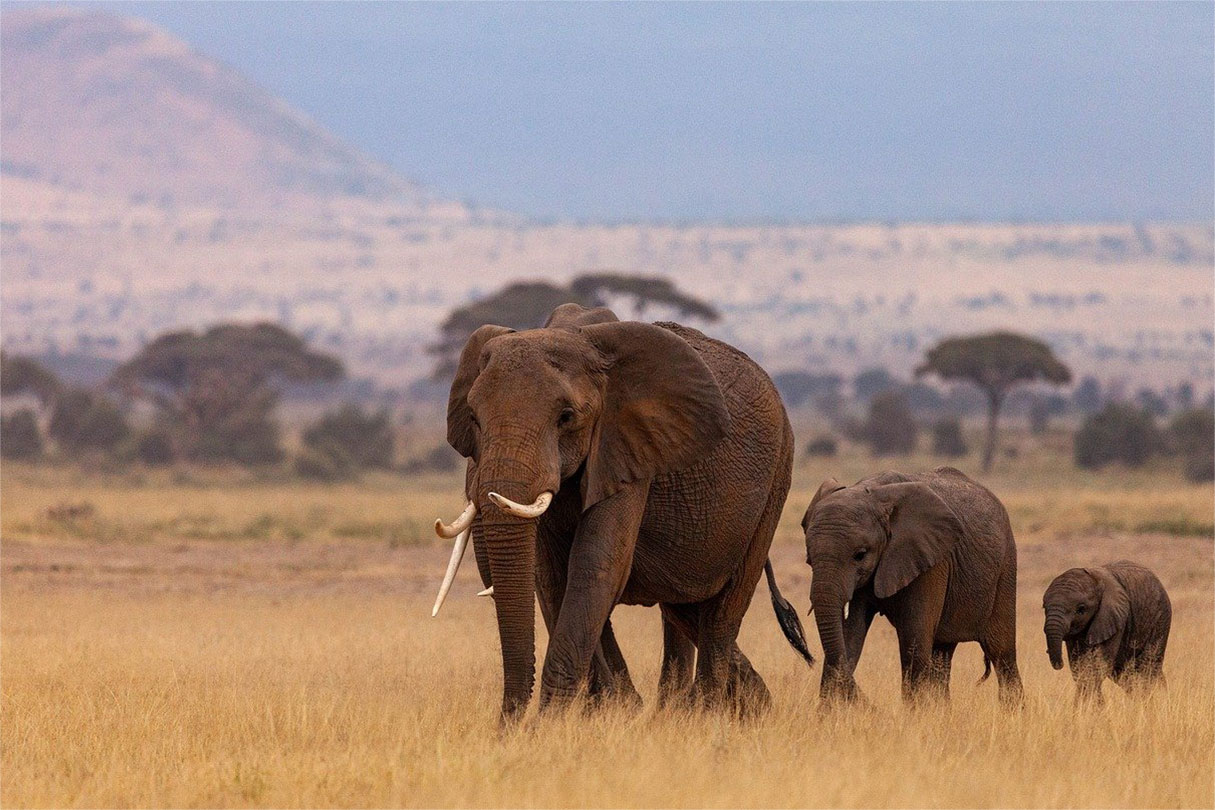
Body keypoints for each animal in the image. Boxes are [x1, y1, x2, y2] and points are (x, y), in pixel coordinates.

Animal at [432, 303, 811, 723]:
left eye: (566, 417)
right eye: (474, 418)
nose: (507, 727)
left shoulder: (628, 448)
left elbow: (596, 566)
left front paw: (552, 724)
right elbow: (552, 576)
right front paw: (608, 712)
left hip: (777, 477)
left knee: (723, 613)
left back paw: (705, 715)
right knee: (684, 608)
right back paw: (735, 706)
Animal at [806, 466, 1025, 704]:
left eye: (860, 555)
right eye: (809, 559)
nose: (871, 706)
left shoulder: (931, 560)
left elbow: (914, 641)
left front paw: (915, 712)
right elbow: (849, 636)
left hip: (1006, 567)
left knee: (1002, 653)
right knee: (942, 654)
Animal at [1040, 561, 1171, 699]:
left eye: (1081, 609)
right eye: (1044, 607)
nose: (1059, 664)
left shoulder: (1115, 618)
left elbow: (1096, 665)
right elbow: (1078, 667)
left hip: (1160, 619)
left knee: (1148, 667)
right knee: (1125, 675)